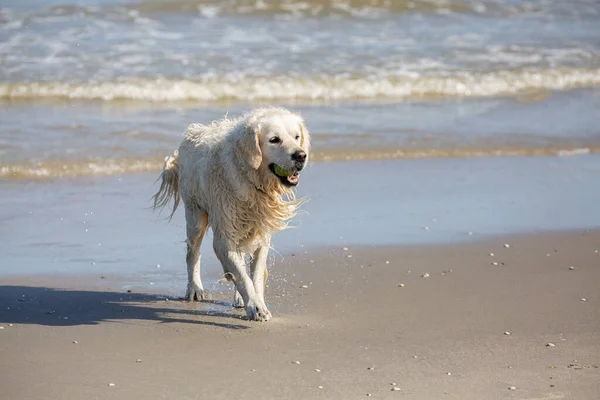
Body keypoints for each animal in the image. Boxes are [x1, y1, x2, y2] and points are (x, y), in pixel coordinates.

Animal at [152, 108, 312, 320]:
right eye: (274, 140)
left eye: (296, 137)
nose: (301, 155)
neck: (250, 179)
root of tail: (194, 131)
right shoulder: (224, 236)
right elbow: (243, 277)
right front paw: (256, 307)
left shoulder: (260, 233)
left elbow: (254, 276)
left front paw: (258, 303)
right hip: (196, 215)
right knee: (192, 253)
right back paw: (194, 289)